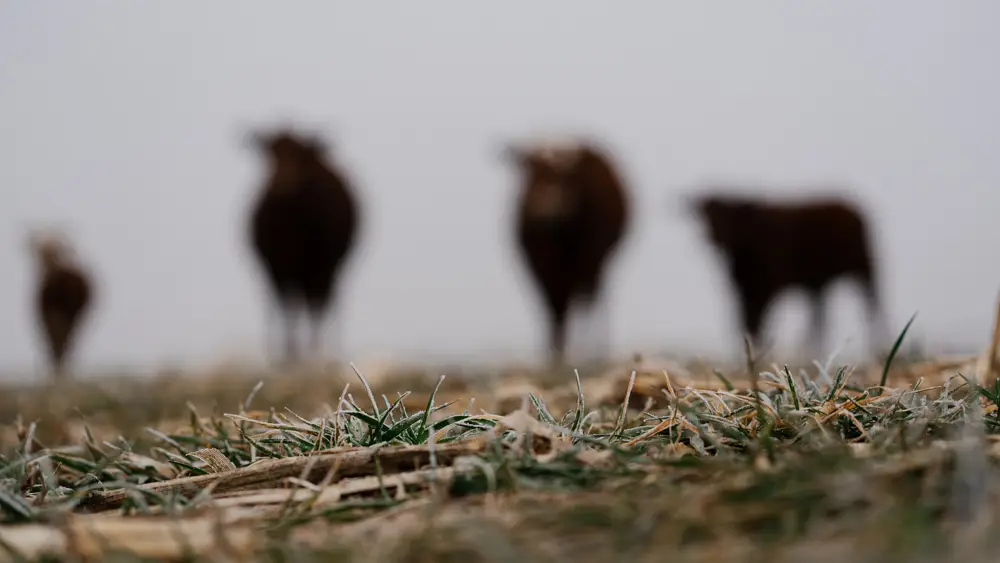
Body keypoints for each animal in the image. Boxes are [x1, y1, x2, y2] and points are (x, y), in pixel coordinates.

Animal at [245, 126, 360, 367]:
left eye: (300, 156)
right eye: (270, 154)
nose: (283, 183)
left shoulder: (321, 267)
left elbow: (315, 304)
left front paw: (313, 354)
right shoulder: (277, 267)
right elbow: (287, 305)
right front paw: (287, 356)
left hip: (326, 269)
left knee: (320, 302)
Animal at [501, 136, 631, 367]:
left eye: (563, 178)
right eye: (530, 176)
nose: (542, 210)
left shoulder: (590, 258)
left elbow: (582, 299)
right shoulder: (541, 265)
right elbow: (554, 305)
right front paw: (554, 354)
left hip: (595, 264)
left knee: (590, 297)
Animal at [688, 191, 887, 359]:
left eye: (731, 216)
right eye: (706, 215)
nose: (713, 236)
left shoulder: (769, 283)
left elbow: (757, 319)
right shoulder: (744, 288)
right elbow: (746, 319)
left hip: (864, 268)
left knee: (871, 304)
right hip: (820, 281)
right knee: (820, 317)